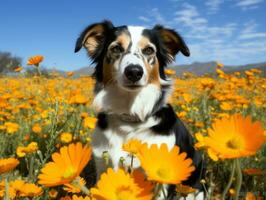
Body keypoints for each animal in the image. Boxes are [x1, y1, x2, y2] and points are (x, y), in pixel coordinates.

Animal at [75, 19, 206, 198]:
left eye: (149, 50)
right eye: (116, 48)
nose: (134, 72)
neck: (130, 118)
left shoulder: (163, 182)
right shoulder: (102, 163)